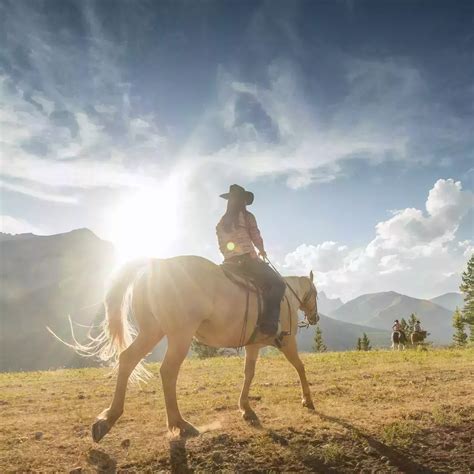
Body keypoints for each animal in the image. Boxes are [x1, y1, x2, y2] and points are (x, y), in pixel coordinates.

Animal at [79, 258, 318, 442]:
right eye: (315, 293)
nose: (315, 317)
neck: (288, 297)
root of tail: (157, 263)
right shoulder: (287, 342)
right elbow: (300, 366)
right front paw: (307, 400)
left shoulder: (252, 346)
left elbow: (248, 374)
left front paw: (246, 408)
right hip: (180, 336)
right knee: (168, 371)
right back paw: (180, 423)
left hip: (151, 331)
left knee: (128, 359)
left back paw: (107, 419)